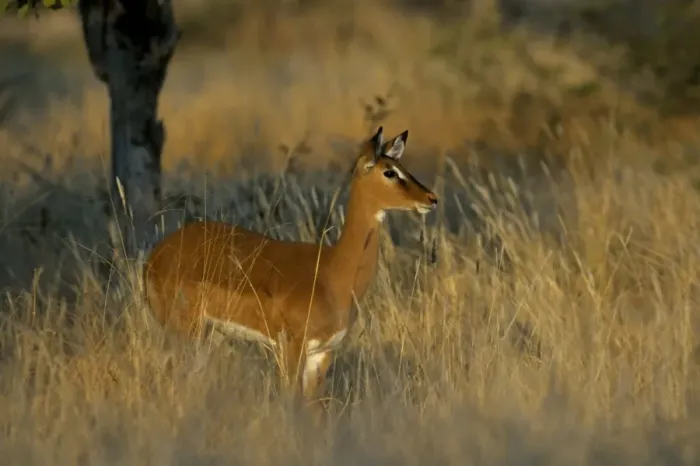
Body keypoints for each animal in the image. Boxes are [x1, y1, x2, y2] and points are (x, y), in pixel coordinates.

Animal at [143, 126, 438, 409]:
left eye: (403, 166)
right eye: (389, 172)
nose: (431, 198)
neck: (332, 274)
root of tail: (154, 255)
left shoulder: (322, 352)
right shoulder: (290, 347)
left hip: (207, 334)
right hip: (184, 330)